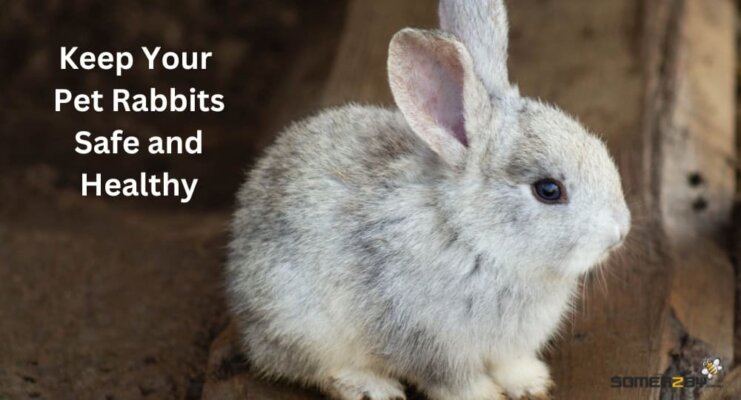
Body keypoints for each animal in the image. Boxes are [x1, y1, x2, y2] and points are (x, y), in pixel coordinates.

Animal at [226, 0, 631, 399]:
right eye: (548, 190)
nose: (620, 232)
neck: (474, 236)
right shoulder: (429, 342)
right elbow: (453, 381)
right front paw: (487, 395)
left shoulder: (508, 347)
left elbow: (510, 364)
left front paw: (532, 383)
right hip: (304, 324)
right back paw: (372, 387)